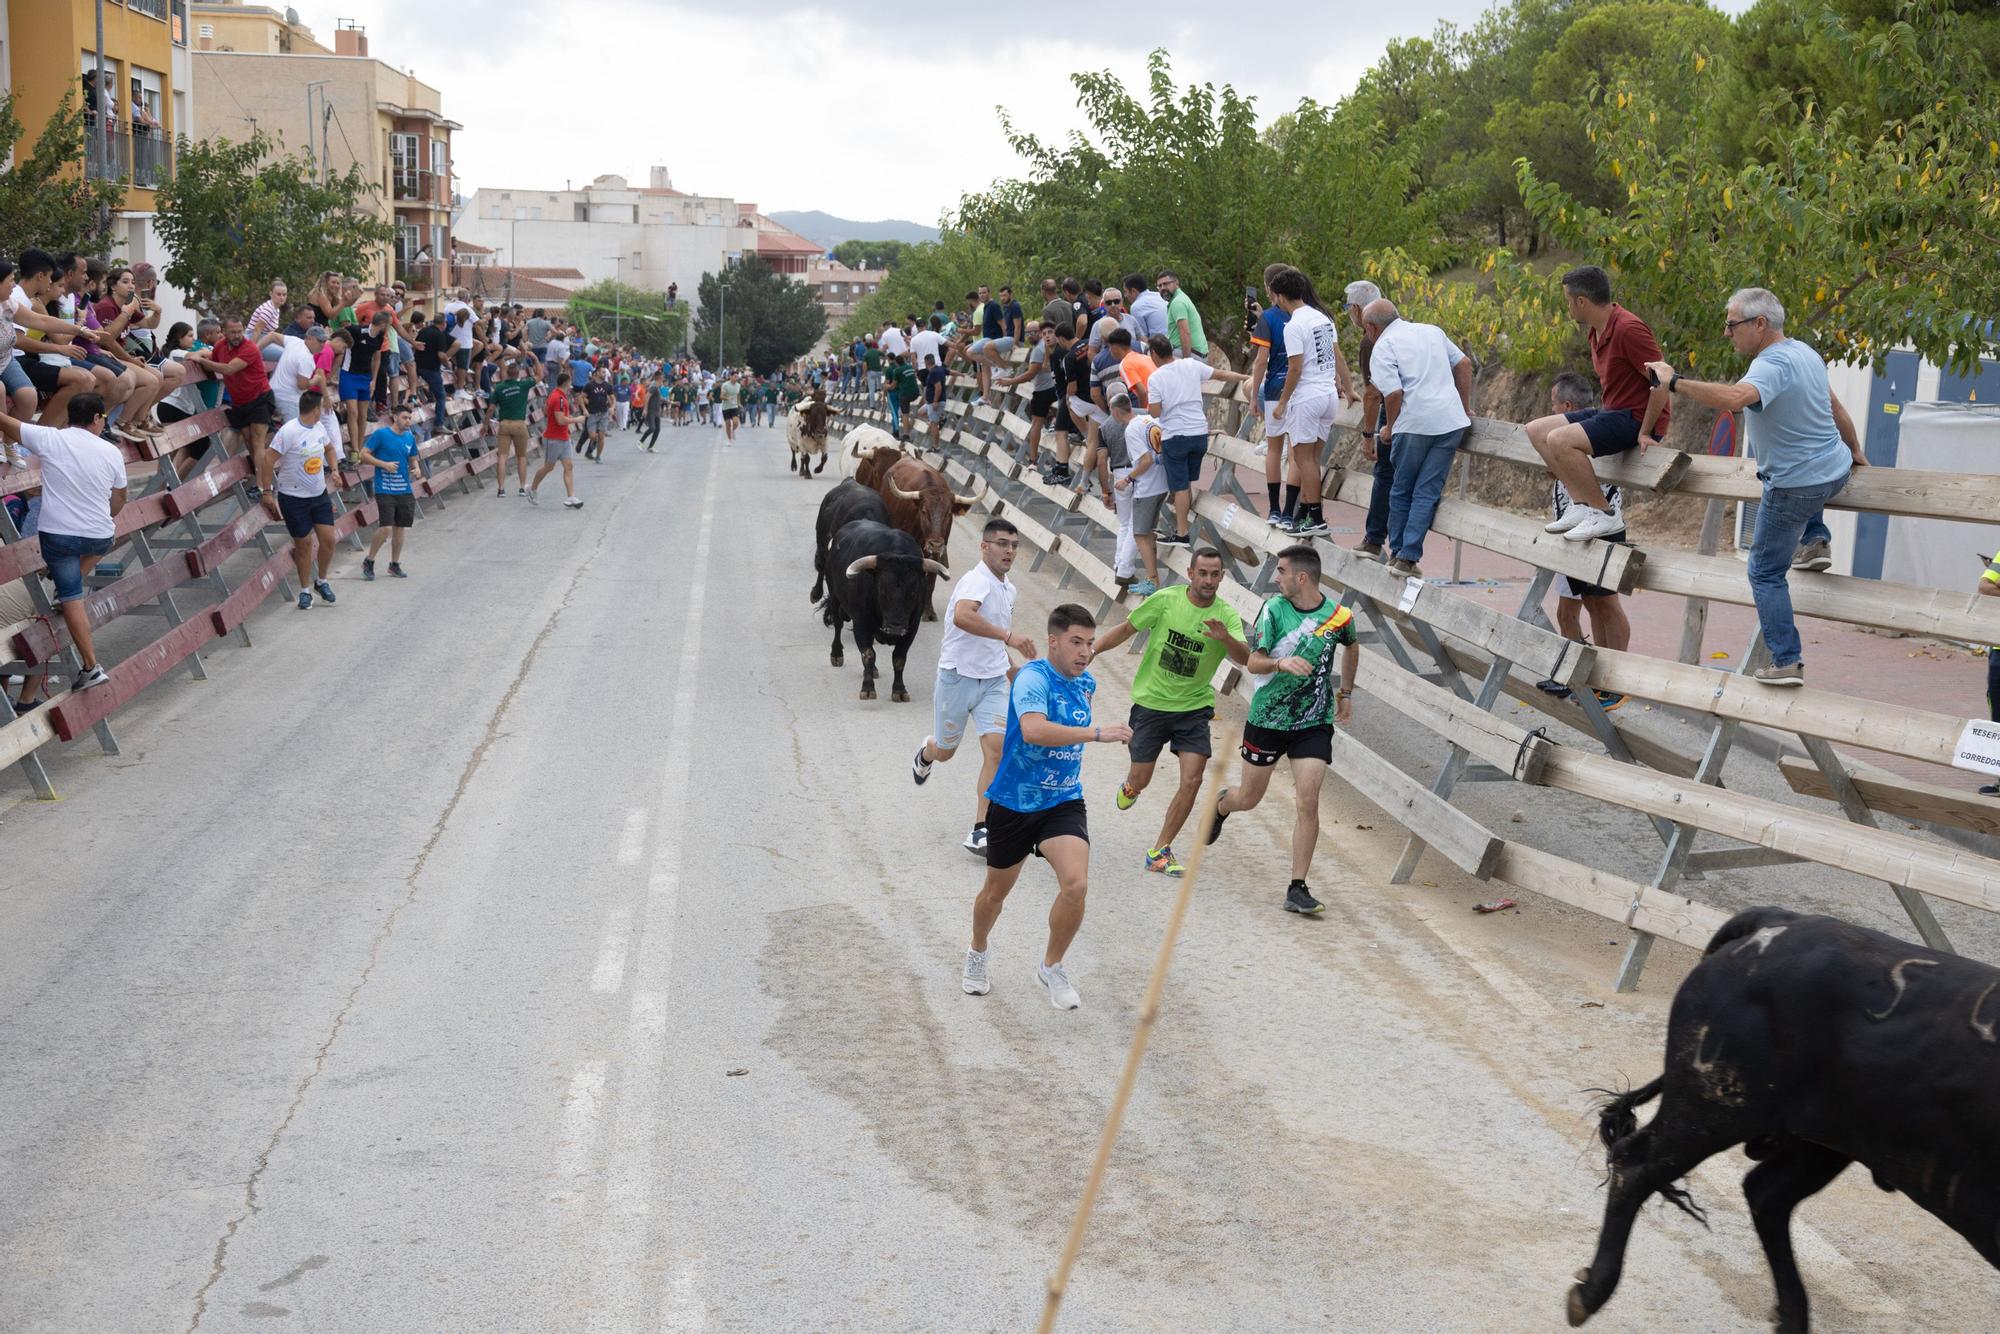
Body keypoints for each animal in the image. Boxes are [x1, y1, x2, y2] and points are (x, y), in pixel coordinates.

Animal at [828, 520, 952, 704]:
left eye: (913, 592)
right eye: (881, 590)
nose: (895, 627)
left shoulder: (911, 629)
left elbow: (899, 659)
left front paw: (899, 690)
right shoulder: (861, 623)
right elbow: (868, 654)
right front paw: (868, 689)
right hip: (835, 598)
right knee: (838, 625)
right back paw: (836, 655)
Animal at [1568, 908, 1992, 1334]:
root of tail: (1781, 920)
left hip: (1824, 1141)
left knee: (1767, 1194)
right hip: (1711, 1110)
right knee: (1638, 1165)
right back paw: (1591, 1293)